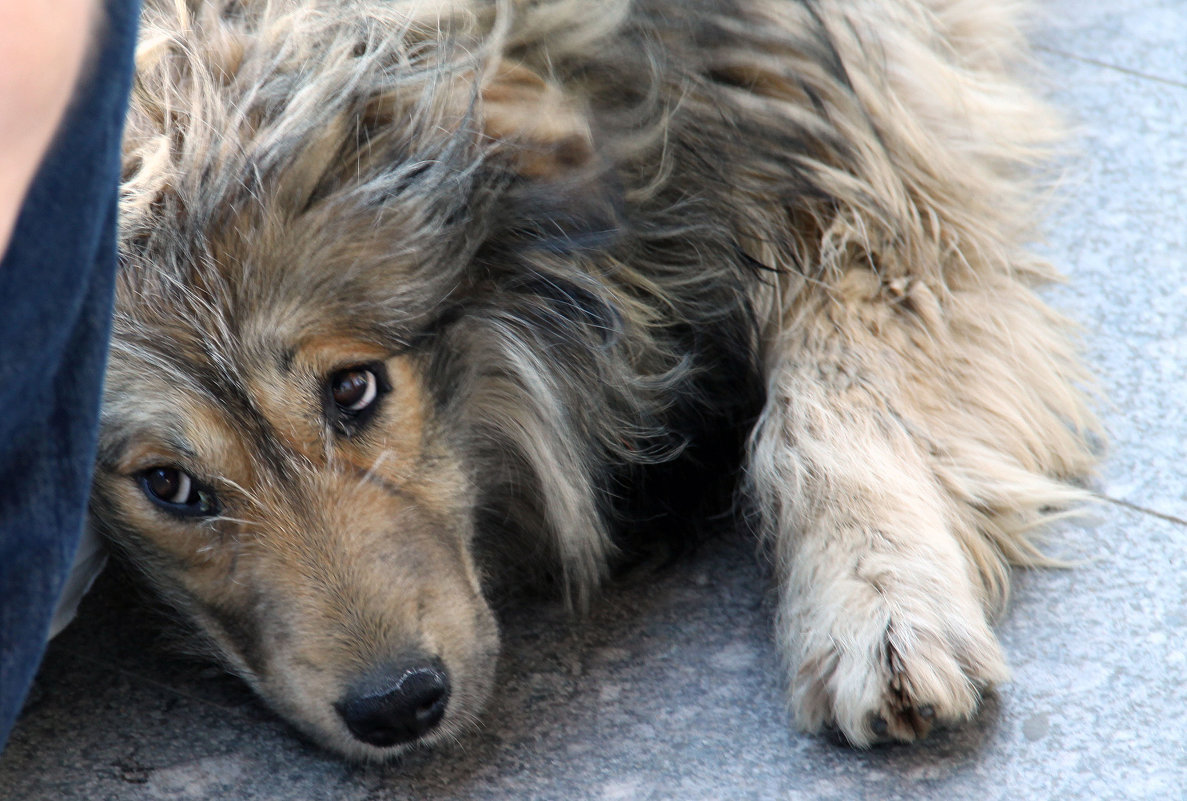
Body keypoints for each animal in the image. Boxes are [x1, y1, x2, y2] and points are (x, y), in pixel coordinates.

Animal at [87, 0, 1096, 759]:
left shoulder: (846, 158)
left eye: (354, 391)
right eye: (169, 486)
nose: (398, 704)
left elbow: (830, 401)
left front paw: (880, 603)